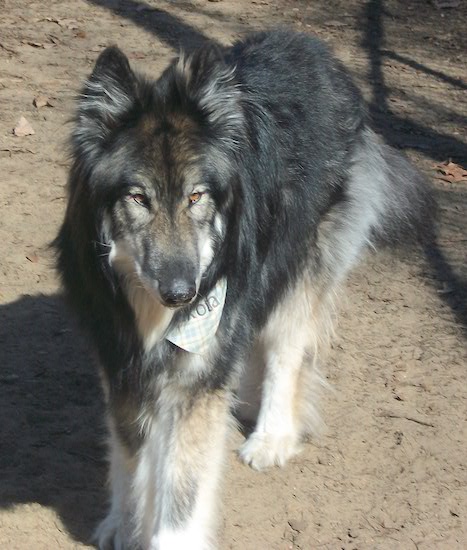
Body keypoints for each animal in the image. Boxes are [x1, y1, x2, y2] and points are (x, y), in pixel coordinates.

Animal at [55, 31, 436, 550]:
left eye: (196, 197)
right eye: (137, 198)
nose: (182, 293)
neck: (147, 310)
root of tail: (313, 47)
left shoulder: (195, 372)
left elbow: (181, 489)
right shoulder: (120, 361)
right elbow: (130, 456)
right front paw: (125, 523)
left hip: (301, 266)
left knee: (284, 352)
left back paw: (271, 436)